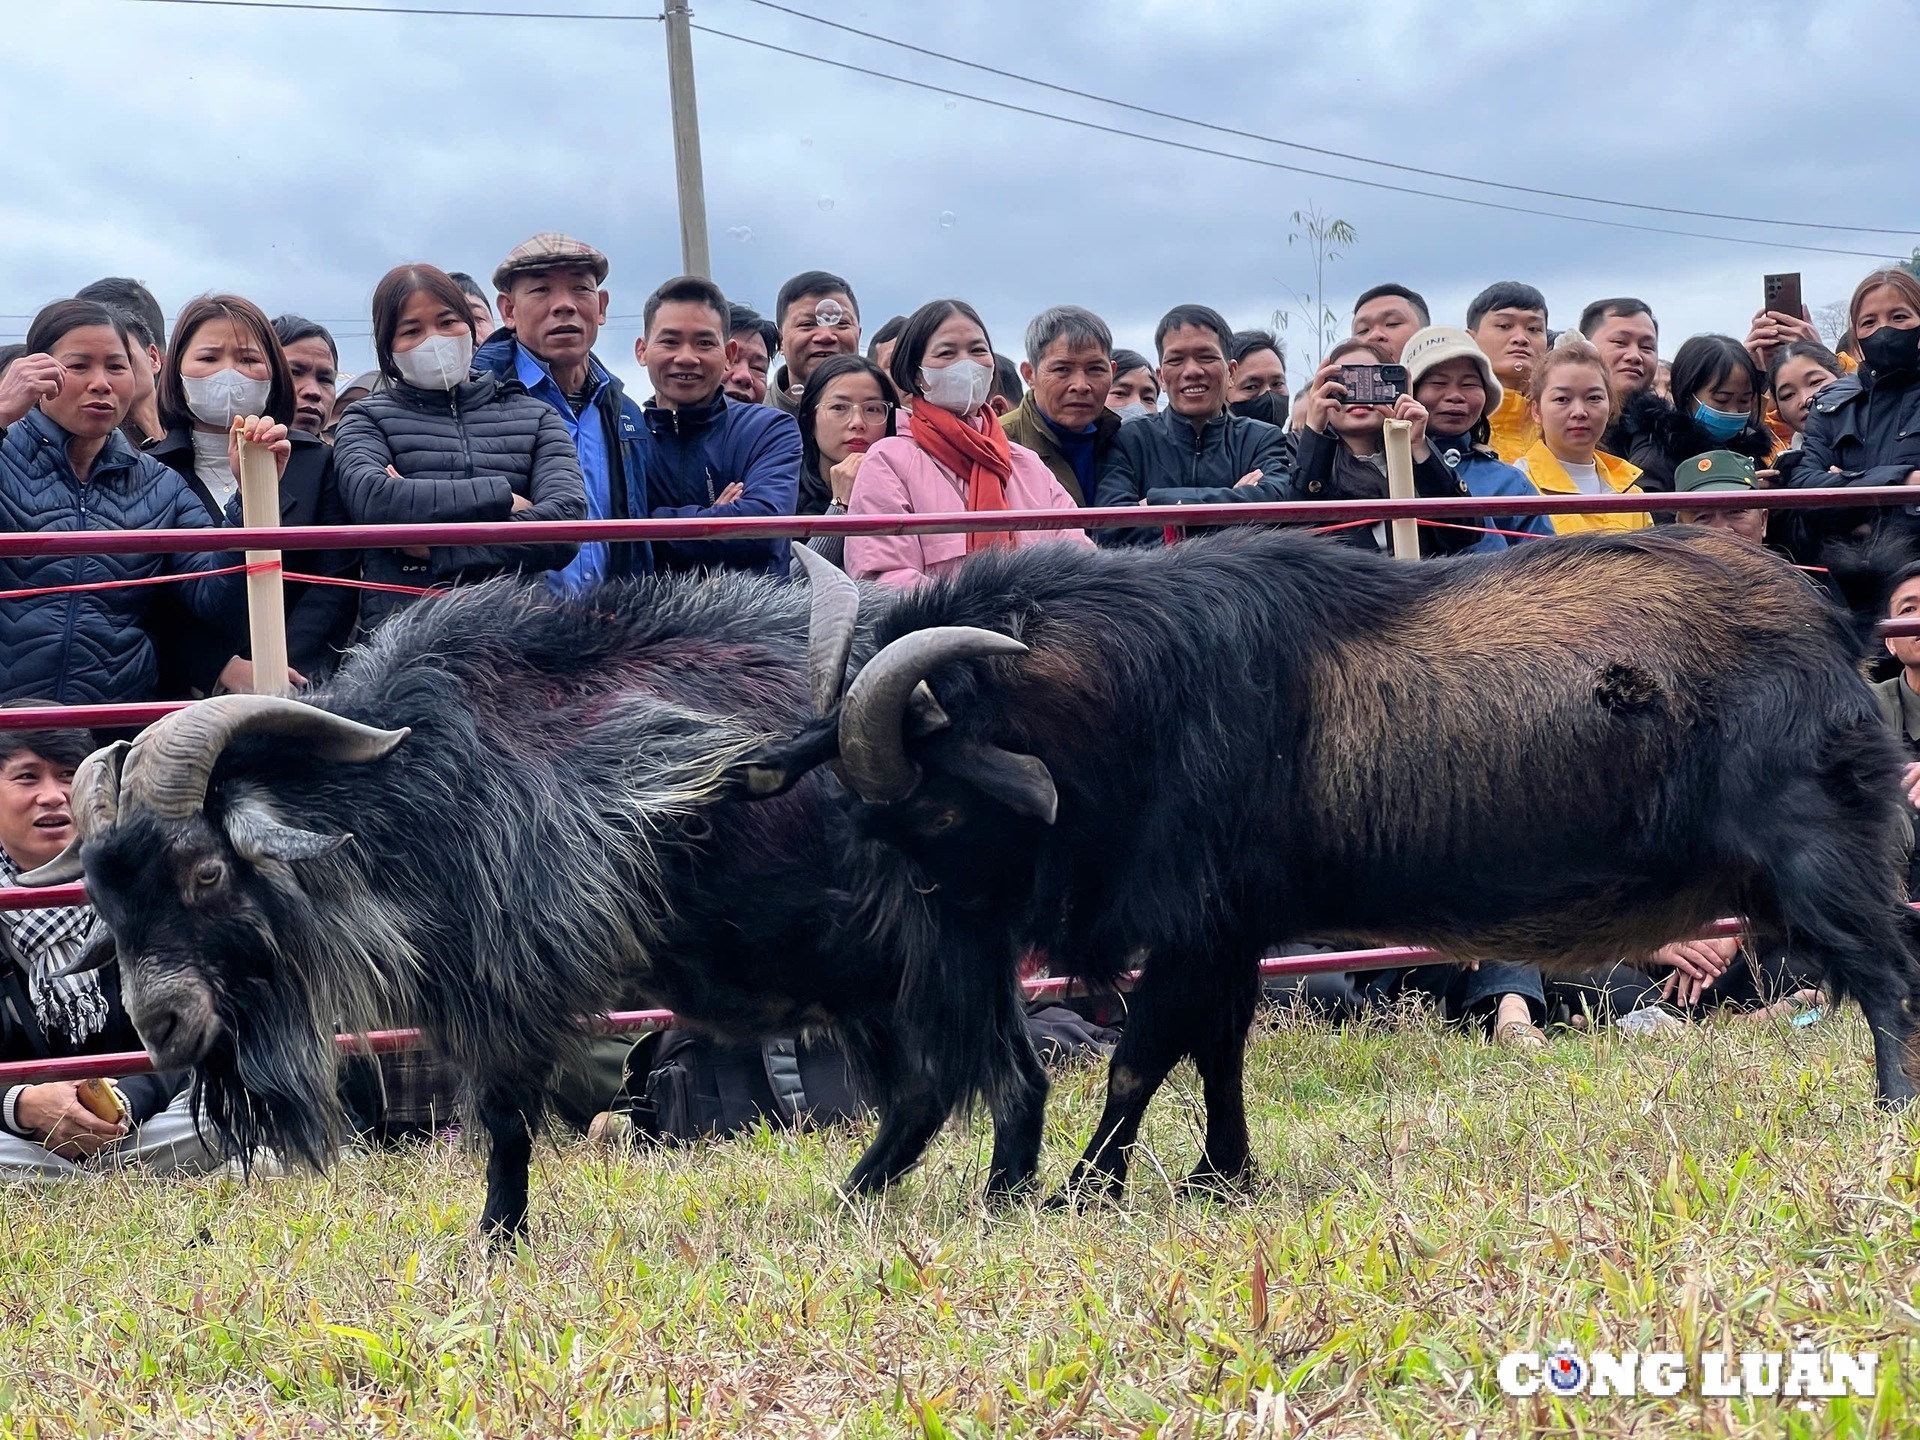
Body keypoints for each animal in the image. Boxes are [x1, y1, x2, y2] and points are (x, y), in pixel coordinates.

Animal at [748, 526, 1920, 1198]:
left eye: (936, 808)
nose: (937, 994)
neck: (1146, 692)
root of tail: (1832, 614)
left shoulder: (1195, 923)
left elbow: (1142, 1059)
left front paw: (1084, 1188)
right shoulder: (1230, 930)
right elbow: (1216, 1054)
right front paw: (1221, 1175)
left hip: (1821, 850)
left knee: (1889, 972)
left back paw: (1894, 1108)